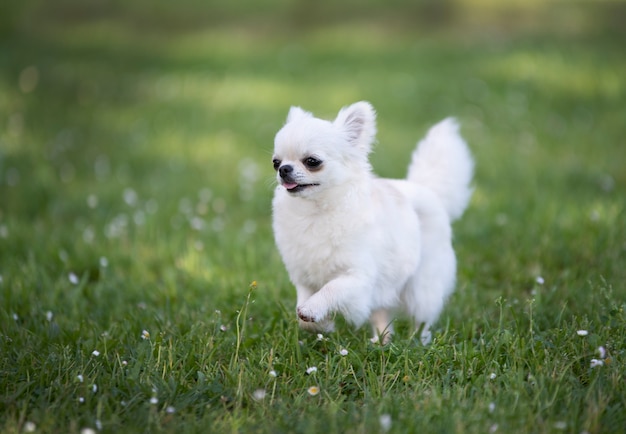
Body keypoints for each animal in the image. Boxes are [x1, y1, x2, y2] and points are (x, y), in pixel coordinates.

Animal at [270, 101, 470, 342]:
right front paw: (321, 324)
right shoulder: (304, 279)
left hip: (421, 287)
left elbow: (331, 289)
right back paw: (382, 342)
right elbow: (302, 313)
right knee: (383, 316)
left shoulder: (358, 278)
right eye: (276, 162)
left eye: (312, 162)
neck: (315, 212)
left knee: (422, 319)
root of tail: (426, 190)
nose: (284, 169)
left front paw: (313, 309)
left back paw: (418, 342)